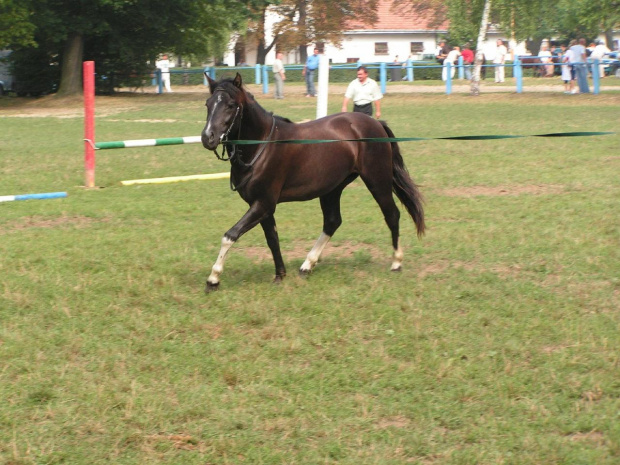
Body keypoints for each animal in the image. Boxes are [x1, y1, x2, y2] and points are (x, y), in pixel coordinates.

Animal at [201, 72, 424, 290]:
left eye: (231, 105)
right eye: (208, 103)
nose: (207, 137)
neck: (262, 145)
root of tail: (376, 123)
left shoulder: (263, 203)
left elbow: (230, 235)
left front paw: (213, 279)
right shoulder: (262, 206)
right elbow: (272, 238)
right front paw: (280, 275)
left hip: (377, 181)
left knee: (392, 215)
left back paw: (396, 263)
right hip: (332, 189)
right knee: (333, 221)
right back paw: (307, 265)